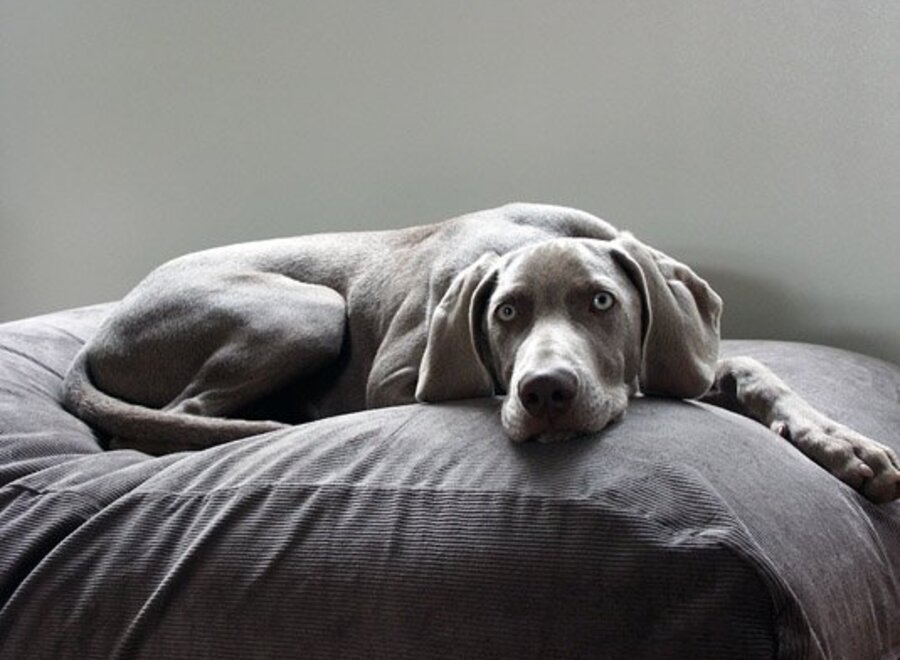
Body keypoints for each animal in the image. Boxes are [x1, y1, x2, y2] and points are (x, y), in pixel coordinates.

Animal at [65, 201, 900, 500]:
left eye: (603, 302)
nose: (547, 393)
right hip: (308, 309)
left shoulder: (684, 358)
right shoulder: (396, 377)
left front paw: (846, 445)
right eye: (505, 313)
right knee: (167, 419)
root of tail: (107, 325)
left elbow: (750, 367)